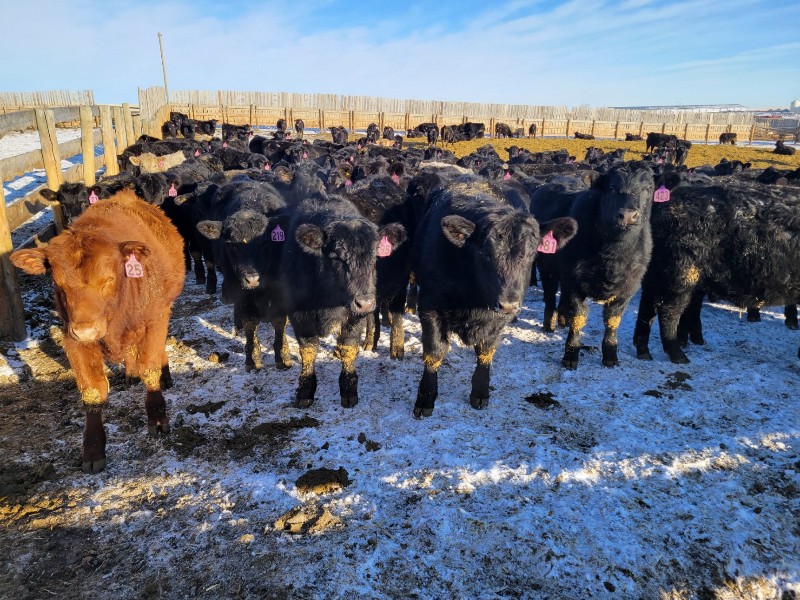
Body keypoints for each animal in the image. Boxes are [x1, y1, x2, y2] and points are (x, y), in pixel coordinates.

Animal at [10, 190, 185, 473]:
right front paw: (92, 450)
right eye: (58, 284)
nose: (86, 330)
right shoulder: (71, 338)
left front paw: (158, 417)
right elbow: (92, 392)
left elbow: (150, 369)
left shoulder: (154, 320)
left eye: (109, 280)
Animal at [411, 175, 577, 417]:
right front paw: (425, 397)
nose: (509, 304)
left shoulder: (497, 319)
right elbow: (434, 351)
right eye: (484, 254)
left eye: (531, 254)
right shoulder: (429, 305)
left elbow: (486, 351)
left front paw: (480, 392)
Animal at [531, 162, 655, 369]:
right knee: (550, 295)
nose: (628, 215)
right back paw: (551, 324)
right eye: (611, 187)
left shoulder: (628, 288)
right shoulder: (575, 282)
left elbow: (612, 321)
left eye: (647, 188)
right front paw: (571, 355)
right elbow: (579, 318)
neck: (612, 256)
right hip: (546, 268)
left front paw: (611, 355)